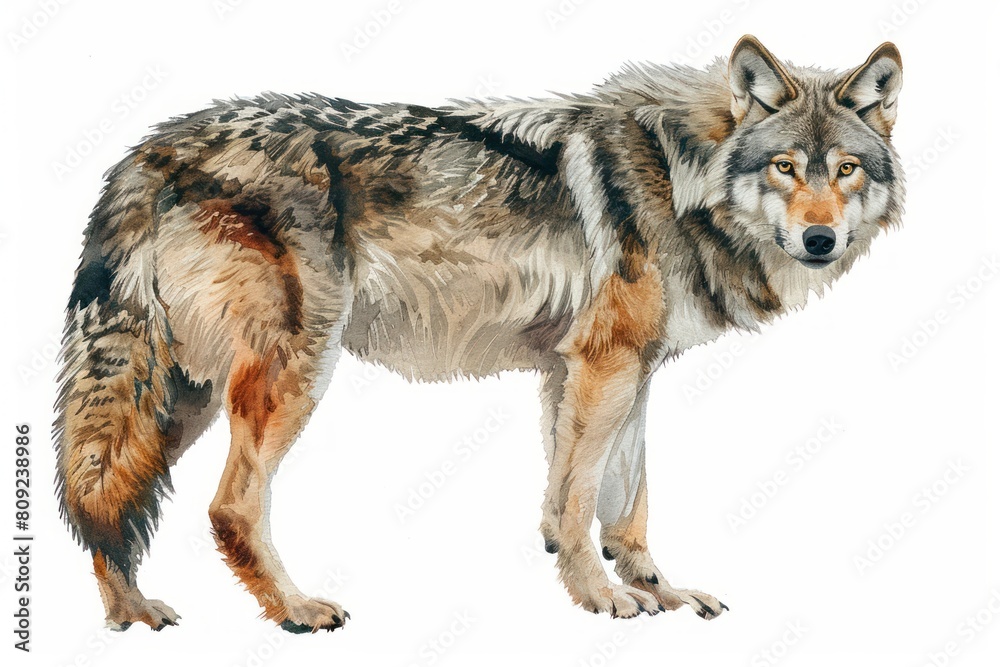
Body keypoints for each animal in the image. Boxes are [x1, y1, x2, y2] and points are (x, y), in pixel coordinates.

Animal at [55, 35, 904, 632]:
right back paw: (294, 609)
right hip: (292, 372)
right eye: (787, 167)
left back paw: (130, 614)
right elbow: (582, 499)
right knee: (228, 507)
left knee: (110, 487)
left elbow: (615, 501)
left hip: (182, 392)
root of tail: (154, 146)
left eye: (847, 168)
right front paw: (602, 598)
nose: (821, 239)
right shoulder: (604, 364)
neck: (681, 176)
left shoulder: (609, 371)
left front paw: (658, 590)